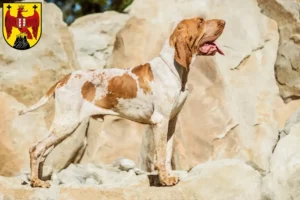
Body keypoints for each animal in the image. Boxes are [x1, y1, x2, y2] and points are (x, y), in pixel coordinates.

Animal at [19, 17, 225, 188]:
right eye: (201, 21)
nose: (223, 22)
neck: (174, 68)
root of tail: (63, 79)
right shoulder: (160, 121)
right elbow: (160, 155)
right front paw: (165, 180)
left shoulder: (171, 121)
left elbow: (166, 155)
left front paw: (167, 177)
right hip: (66, 123)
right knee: (35, 148)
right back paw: (36, 182)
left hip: (64, 127)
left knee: (43, 152)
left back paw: (39, 180)